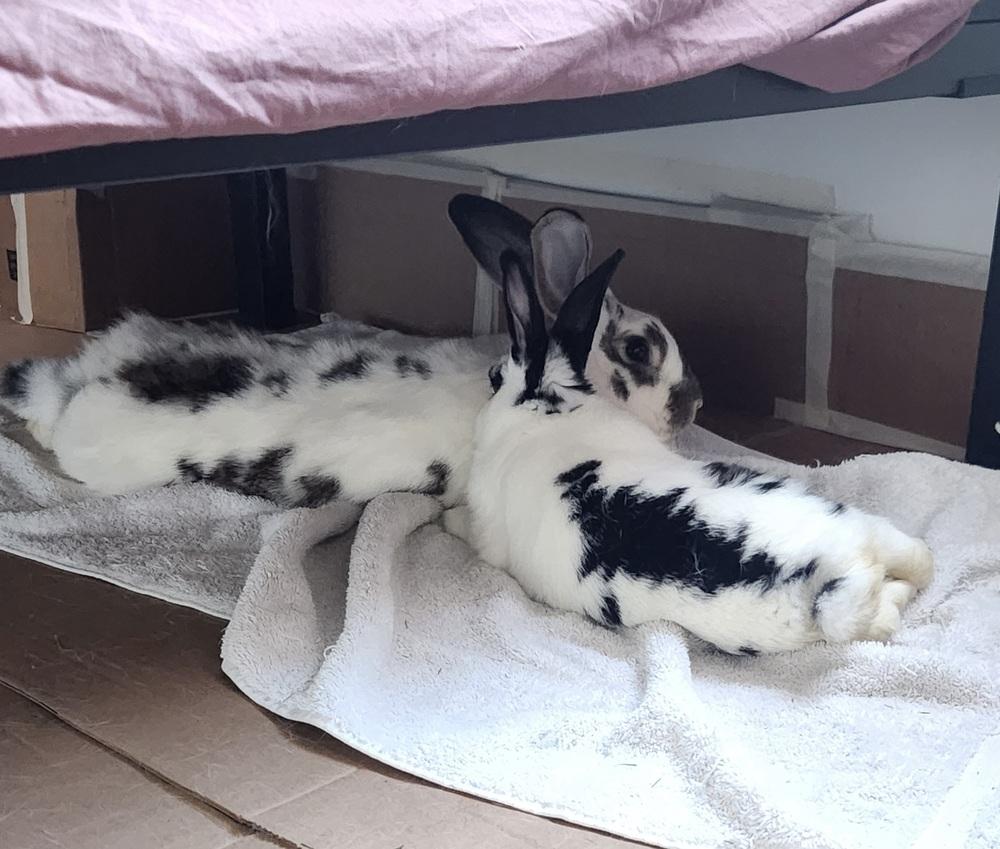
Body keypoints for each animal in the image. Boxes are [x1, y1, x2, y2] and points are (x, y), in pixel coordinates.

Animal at [452, 208, 934, 655]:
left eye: (495, 376)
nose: (489, 379)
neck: (547, 406)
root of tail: (831, 573)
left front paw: (447, 520)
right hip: (864, 539)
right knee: (907, 582)